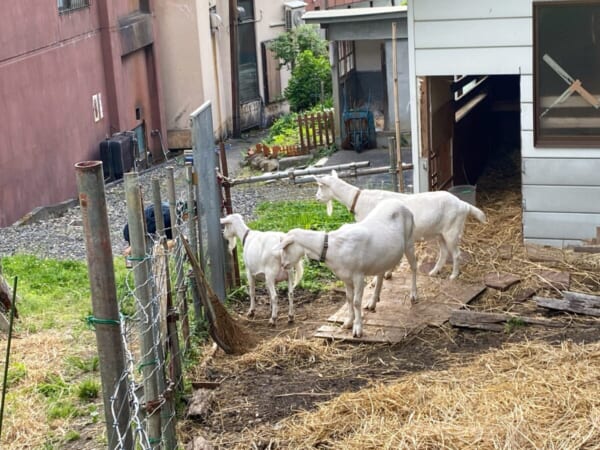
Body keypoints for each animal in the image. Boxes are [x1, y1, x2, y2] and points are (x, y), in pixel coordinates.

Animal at [276, 198, 418, 338]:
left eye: (285, 248)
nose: (283, 265)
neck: (333, 247)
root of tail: (399, 202)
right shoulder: (346, 278)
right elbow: (349, 299)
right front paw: (348, 322)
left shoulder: (358, 275)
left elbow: (356, 301)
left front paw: (357, 328)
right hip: (383, 256)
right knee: (381, 274)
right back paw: (373, 301)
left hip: (409, 242)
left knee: (414, 267)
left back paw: (414, 295)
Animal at [316, 171, 486, 280]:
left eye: (320, 186)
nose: (316, 198)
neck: (359, 200)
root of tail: (463, 204)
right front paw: (388, 274)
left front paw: (383, 276)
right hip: (440, 233)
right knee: (444, 253)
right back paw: (434, 272)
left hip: (452, 230)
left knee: (456, 254)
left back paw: (453, 276)